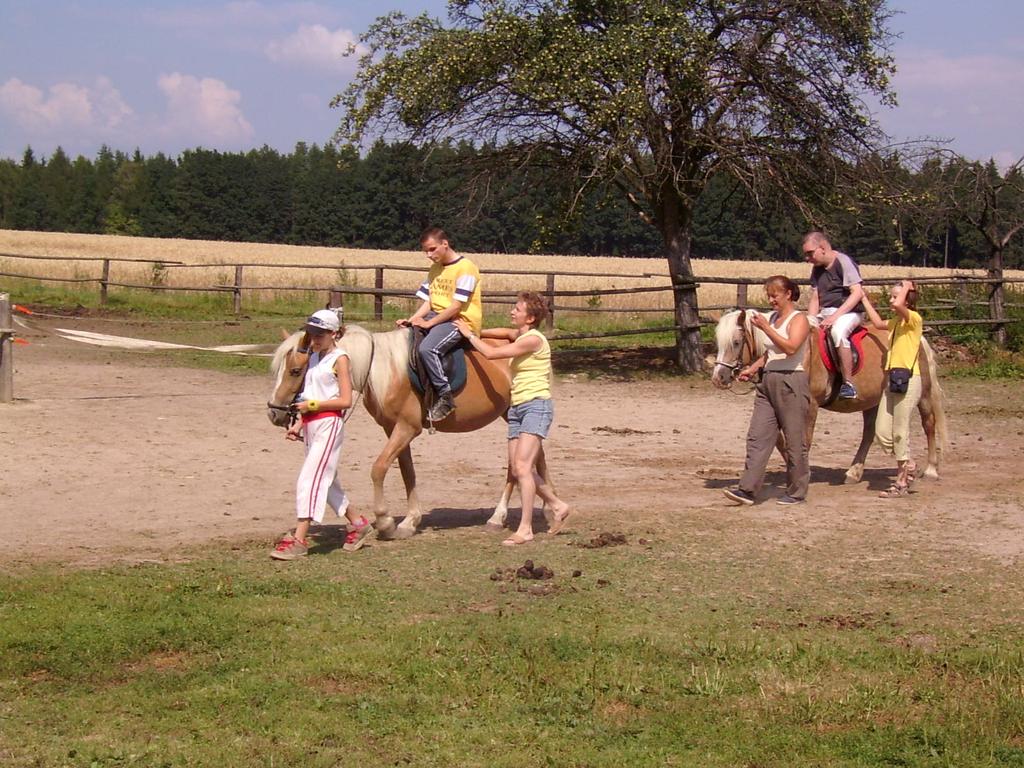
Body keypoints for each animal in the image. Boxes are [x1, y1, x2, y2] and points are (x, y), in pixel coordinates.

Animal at [266, 325, 552, 540]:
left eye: (295, 371)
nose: (273, 413)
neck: (384, 370)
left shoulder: (406, 428)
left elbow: (379, 468)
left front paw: (385, 522)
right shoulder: (393, 428)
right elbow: (407, 471)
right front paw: (409, 522)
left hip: (515, 412)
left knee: (520, 461)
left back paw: (499, 516)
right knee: (535, 456)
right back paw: (549, 508)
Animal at [712, 309, 942, 483]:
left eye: (735, 342)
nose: (718, 377)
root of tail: (920, 339)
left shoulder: (810, 405)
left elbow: (804, 438)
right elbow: (779, 439)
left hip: (922, 395)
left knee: (929, 424)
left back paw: (931, 469)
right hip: (872, 400)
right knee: (869, 432)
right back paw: (854, 472)